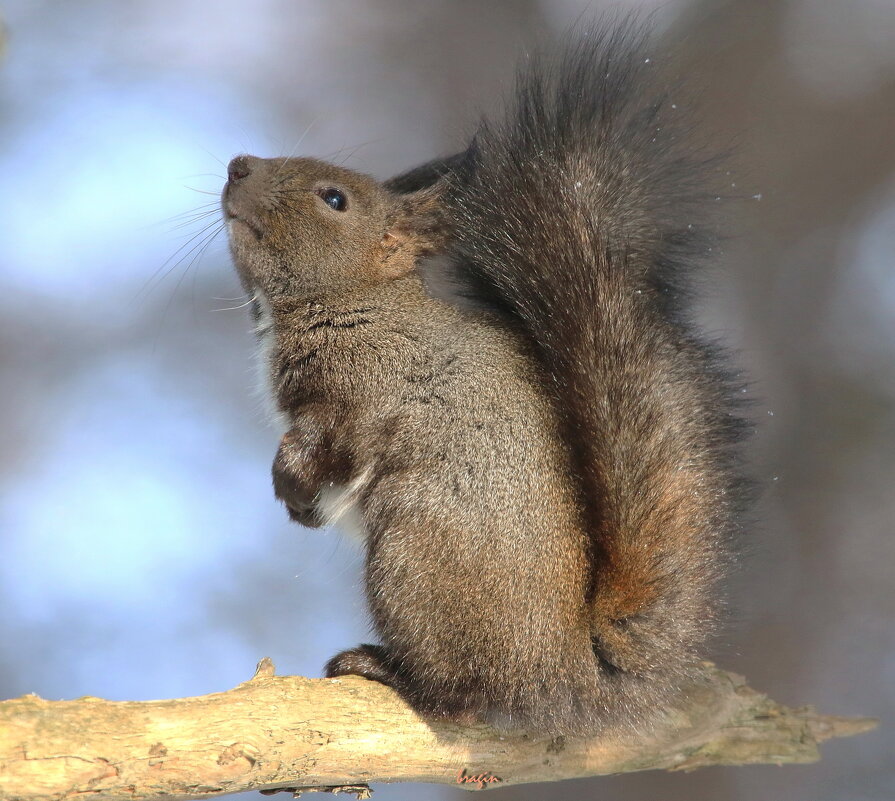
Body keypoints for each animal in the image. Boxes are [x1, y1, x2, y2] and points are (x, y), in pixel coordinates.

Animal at [222, 23, 748, 736]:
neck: (359, 302)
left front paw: (294, 488)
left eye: (334, 200)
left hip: (415, 555)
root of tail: (566, 675)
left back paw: (388, 669)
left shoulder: (366, 392)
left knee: (463, 694)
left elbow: (326, 444)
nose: (236, 165)